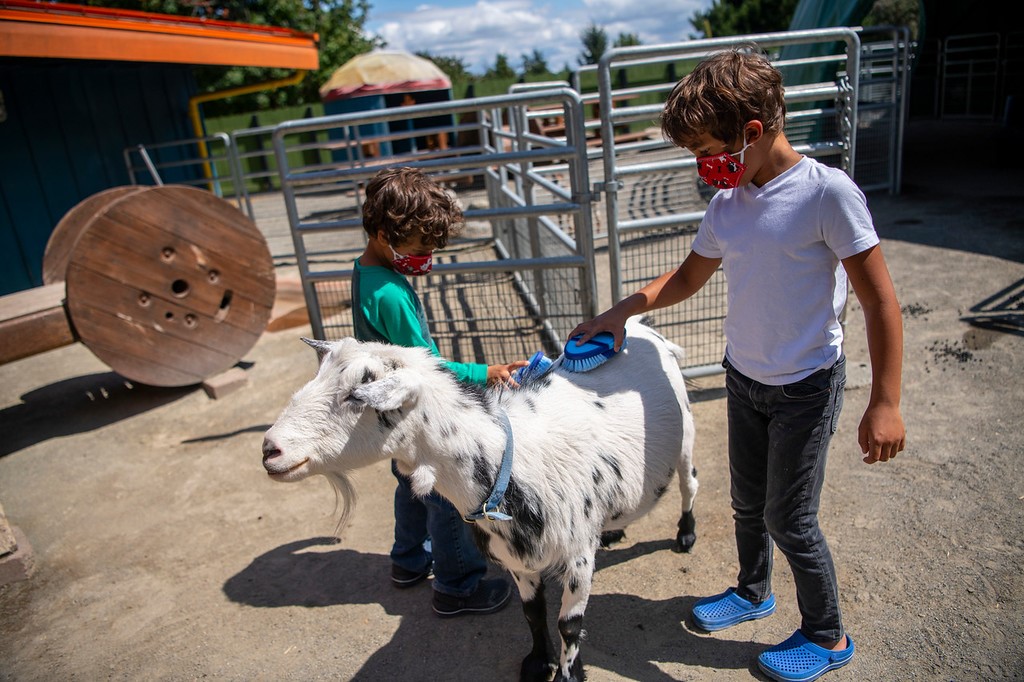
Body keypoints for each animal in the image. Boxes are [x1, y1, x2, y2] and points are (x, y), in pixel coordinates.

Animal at [260, 315, 700, 675]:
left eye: (357, 393)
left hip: (685, 439)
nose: (269, 450)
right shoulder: (517, 561)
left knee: (689, 484)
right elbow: (532, 613)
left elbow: (568, 626)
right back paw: (612, 531)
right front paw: (536, 663)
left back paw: (685, 534)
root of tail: (640, 326)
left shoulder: (576, 558)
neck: (509, 459)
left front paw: (568, 673)